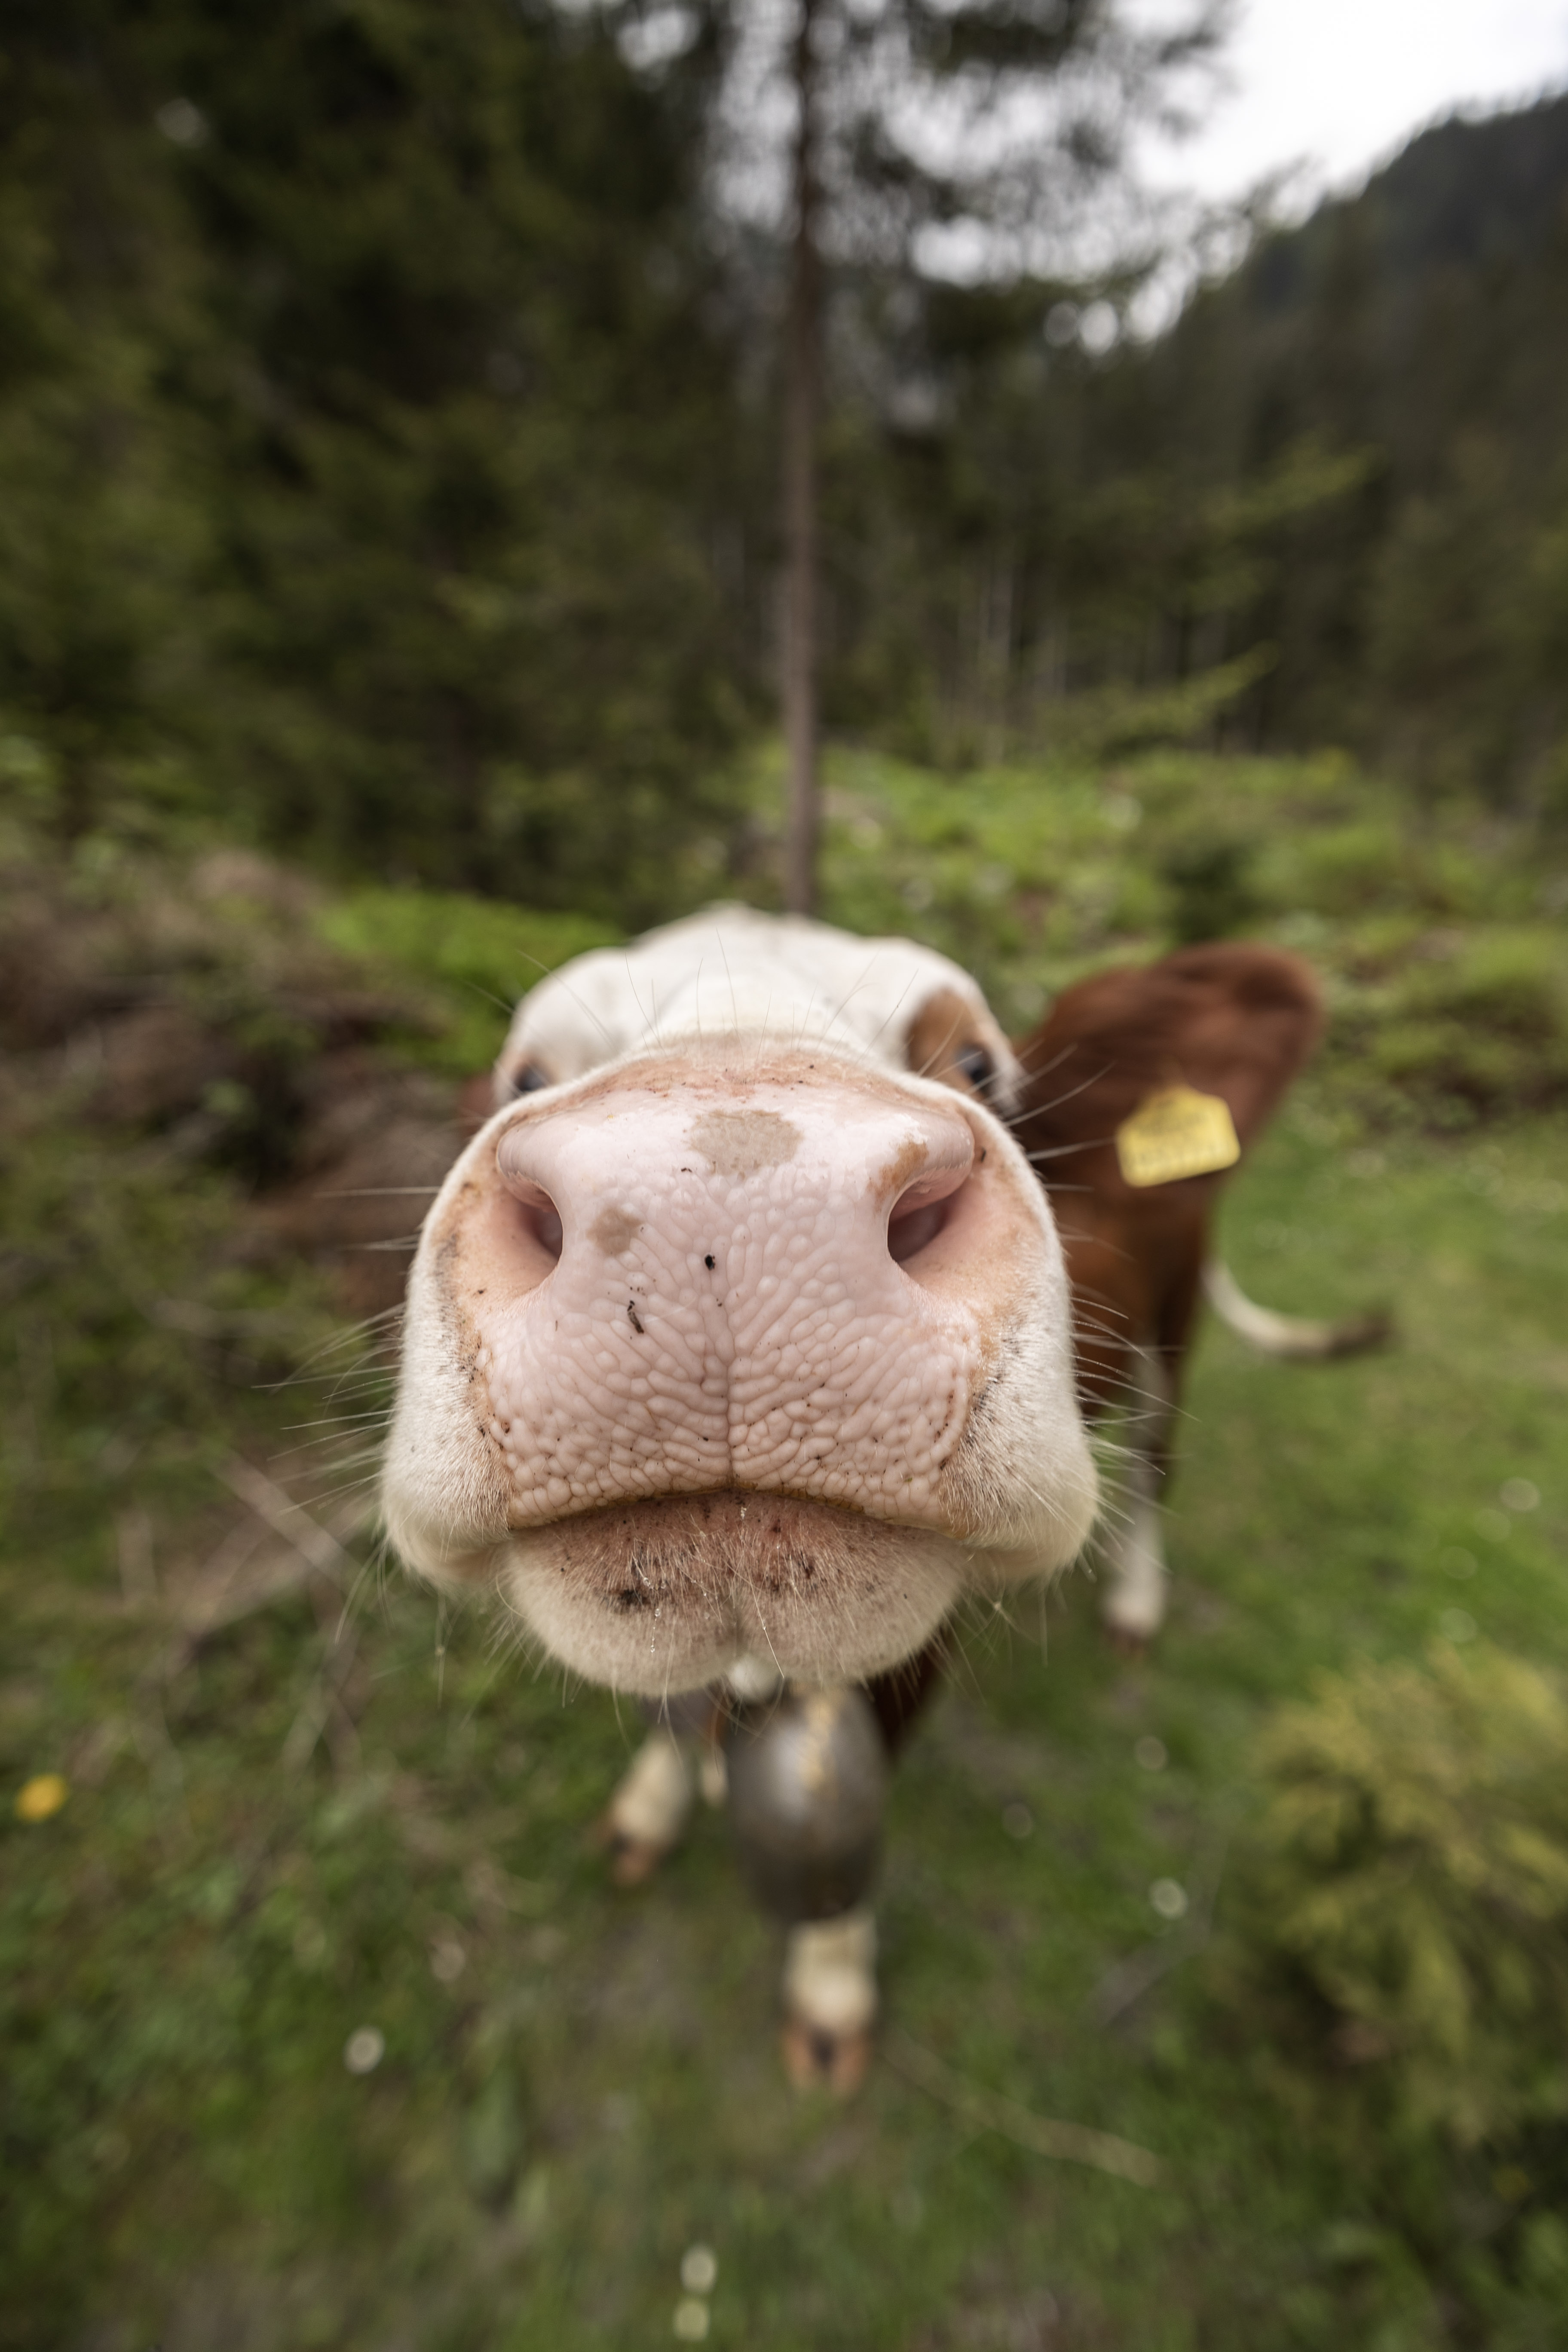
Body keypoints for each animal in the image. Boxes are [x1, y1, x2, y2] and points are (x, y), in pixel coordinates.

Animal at [381, 909, 1375, 2086]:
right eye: (525, 1074)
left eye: (980, 1065)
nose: (726, 1191)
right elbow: (669, 1719)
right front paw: (652, 1807)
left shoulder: (915, 1654)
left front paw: (830, 1989)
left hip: (1171, 1327)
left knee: (1153, 1462)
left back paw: (1137, 1595)